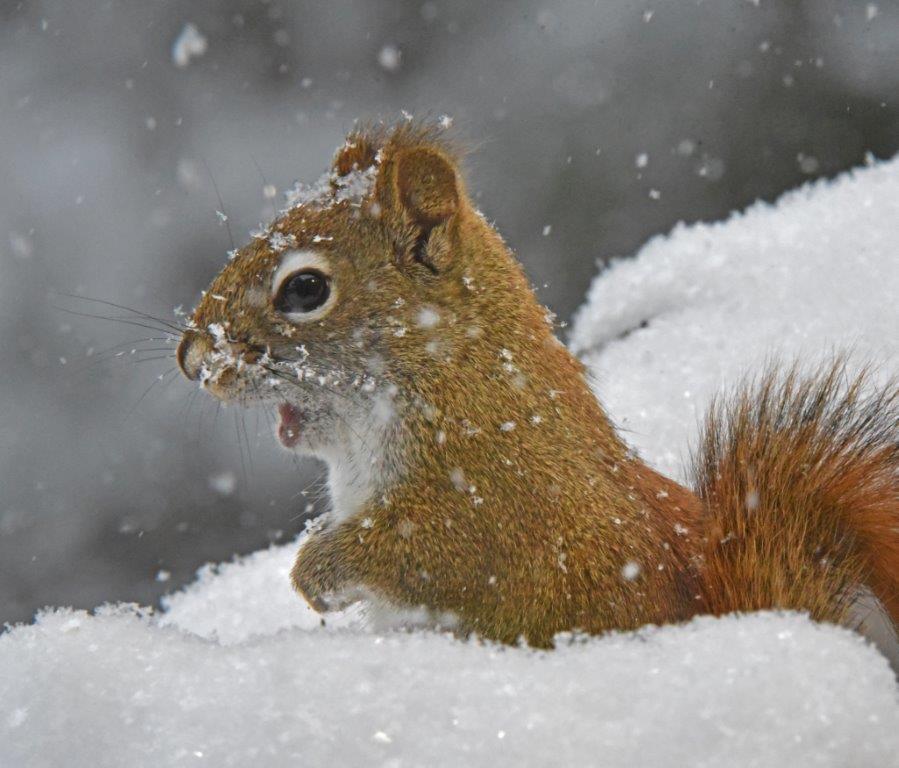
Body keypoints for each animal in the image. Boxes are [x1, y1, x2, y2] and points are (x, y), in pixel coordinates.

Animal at [176, 121, 899, 647]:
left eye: (305, 289)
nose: (190, 357)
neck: (448, 377)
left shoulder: (497, 503)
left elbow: (429, 555)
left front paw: (315, 571)